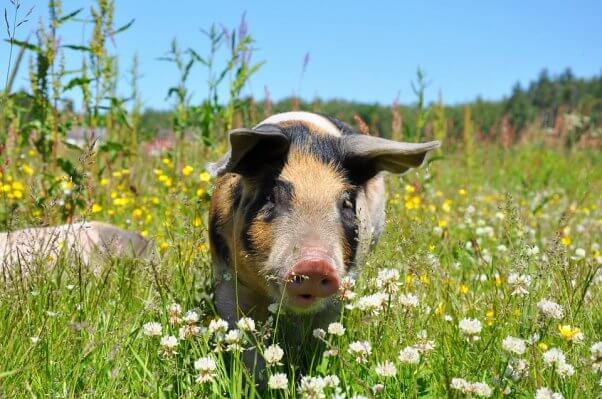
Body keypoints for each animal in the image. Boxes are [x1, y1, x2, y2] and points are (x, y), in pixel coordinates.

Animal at [206, 111, 436, 378]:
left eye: (346, 203)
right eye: (270, 197)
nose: (315, 264)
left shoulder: (343, 284)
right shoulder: (226, 276)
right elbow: (243, 336)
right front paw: (255, 380)